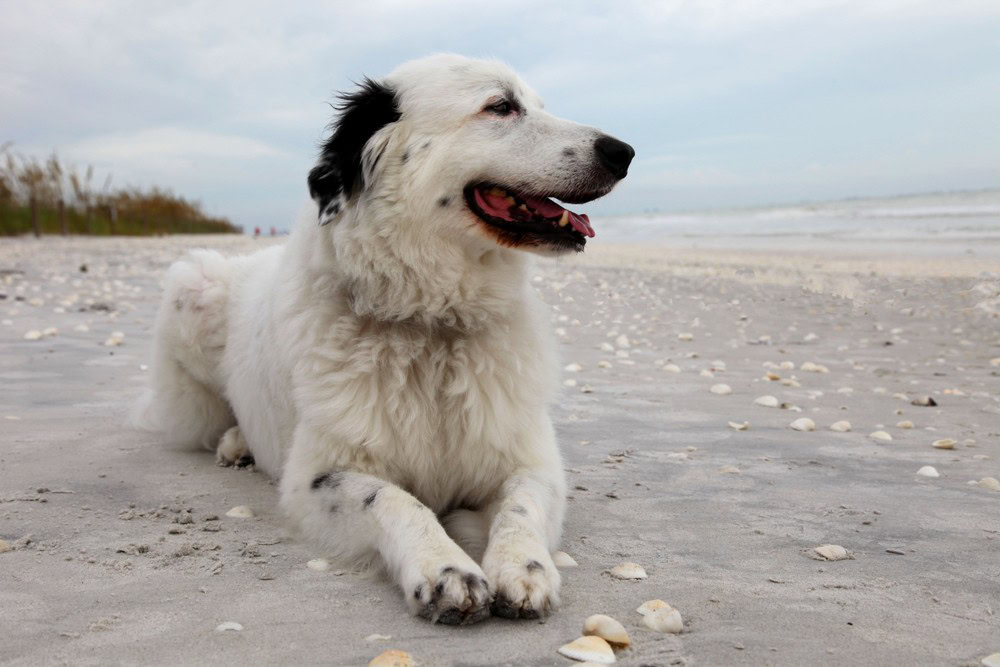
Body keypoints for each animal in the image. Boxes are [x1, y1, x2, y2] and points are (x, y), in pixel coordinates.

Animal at [136, 54, 632, 624]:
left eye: (538, 105)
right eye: (501, 106)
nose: (624, 152)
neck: (432, 324)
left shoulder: (529, 459)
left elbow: (521, 505)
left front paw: (523, 567)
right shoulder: (317, 478)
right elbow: (393, 500)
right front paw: (444, 568)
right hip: (191, 288)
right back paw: (236, 442)